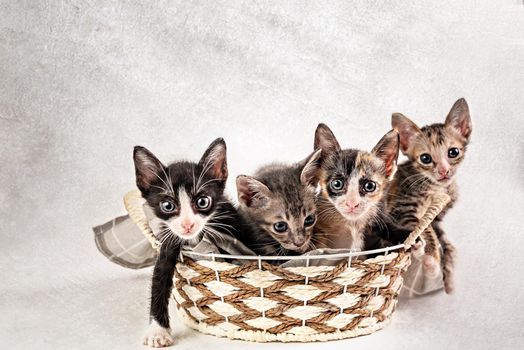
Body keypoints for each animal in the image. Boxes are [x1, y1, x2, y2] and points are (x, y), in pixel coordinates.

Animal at [134, 137, 251, 348]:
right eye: (168, 205)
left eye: (203, 202)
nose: (188, 224)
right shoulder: (170, 241)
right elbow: (159, 278)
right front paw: (157, 331)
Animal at [386, 97, 472, 294]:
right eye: (425, 158)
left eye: (453, 152)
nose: (444, 171)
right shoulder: (401, 208)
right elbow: (425, 229)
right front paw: (432, 262)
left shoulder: (437, 218)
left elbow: (448, 244)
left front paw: (450, 279)